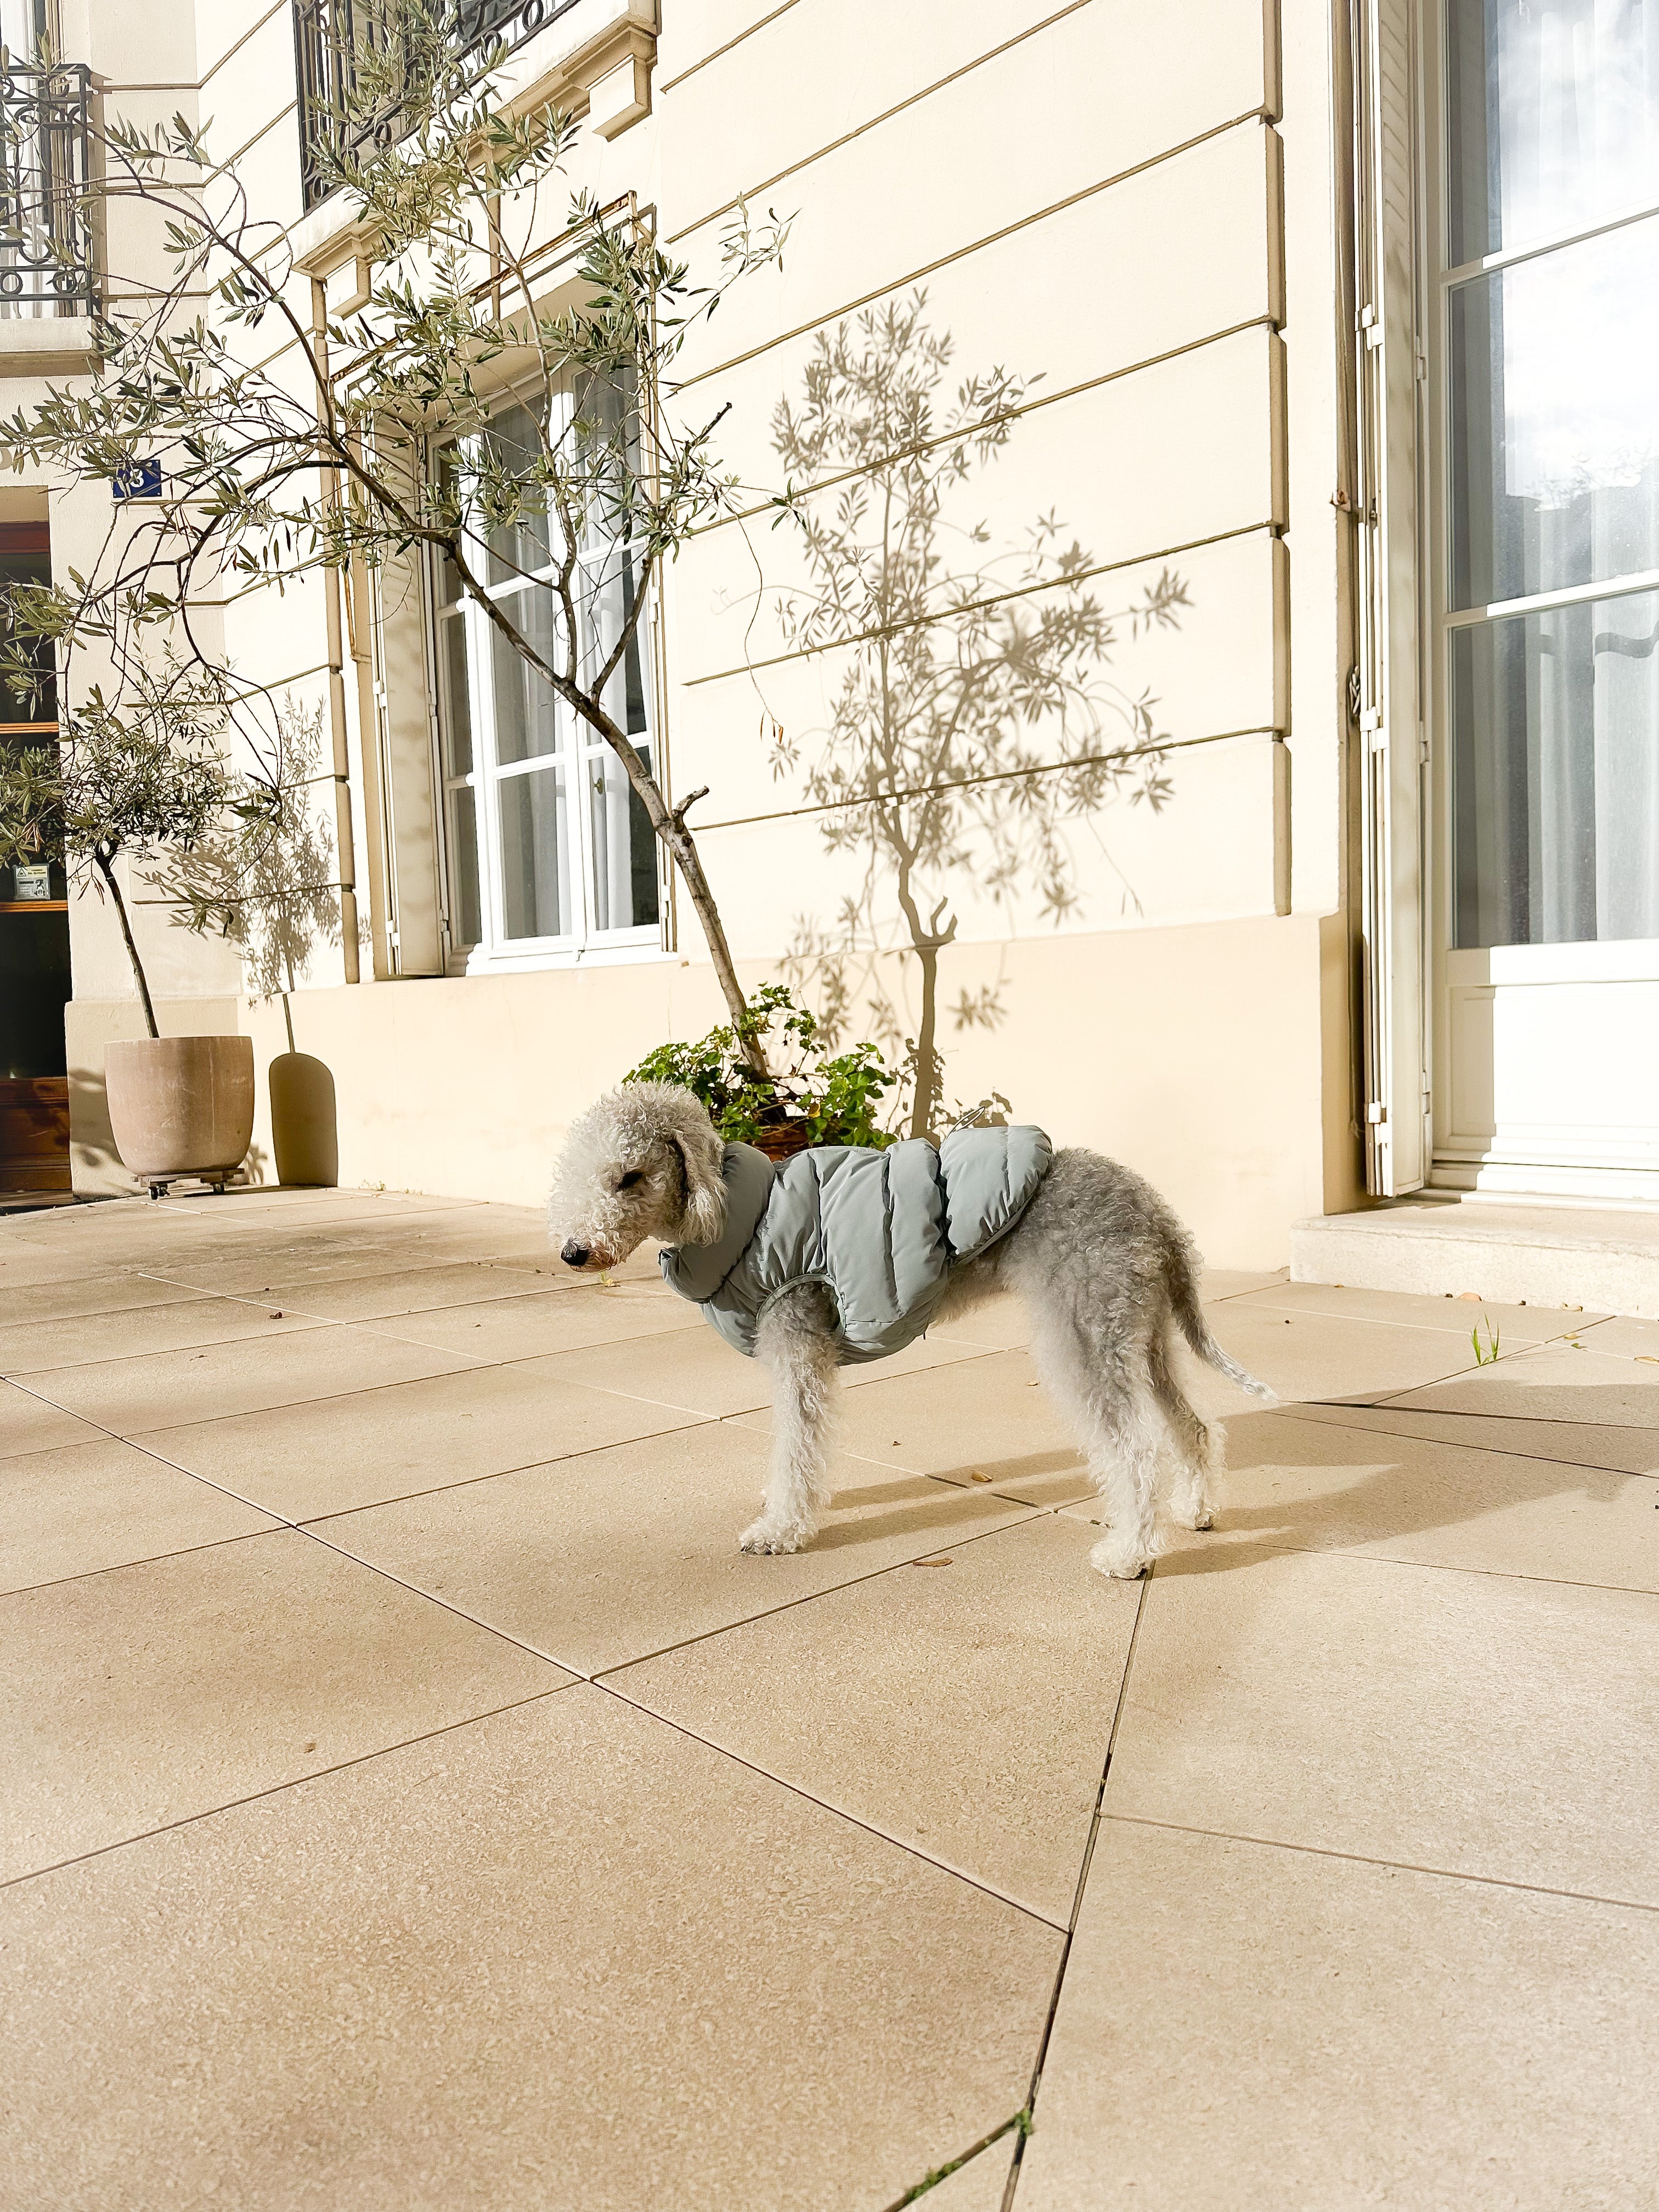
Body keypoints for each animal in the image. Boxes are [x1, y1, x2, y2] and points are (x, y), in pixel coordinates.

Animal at [553, 1084, 1283, 1575]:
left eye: (631, 1177)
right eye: (579, 1174)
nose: (573, 1252)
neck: (741, 1215)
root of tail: (1155, 1209)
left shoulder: (798, 1346)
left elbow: (797, 1446)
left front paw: (781, 1530)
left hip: (1084, 1330)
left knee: (1134, 1450)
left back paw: (1129, 1554)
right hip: (1139, 1328)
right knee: (1192, 1426)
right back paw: (1197, 1514)